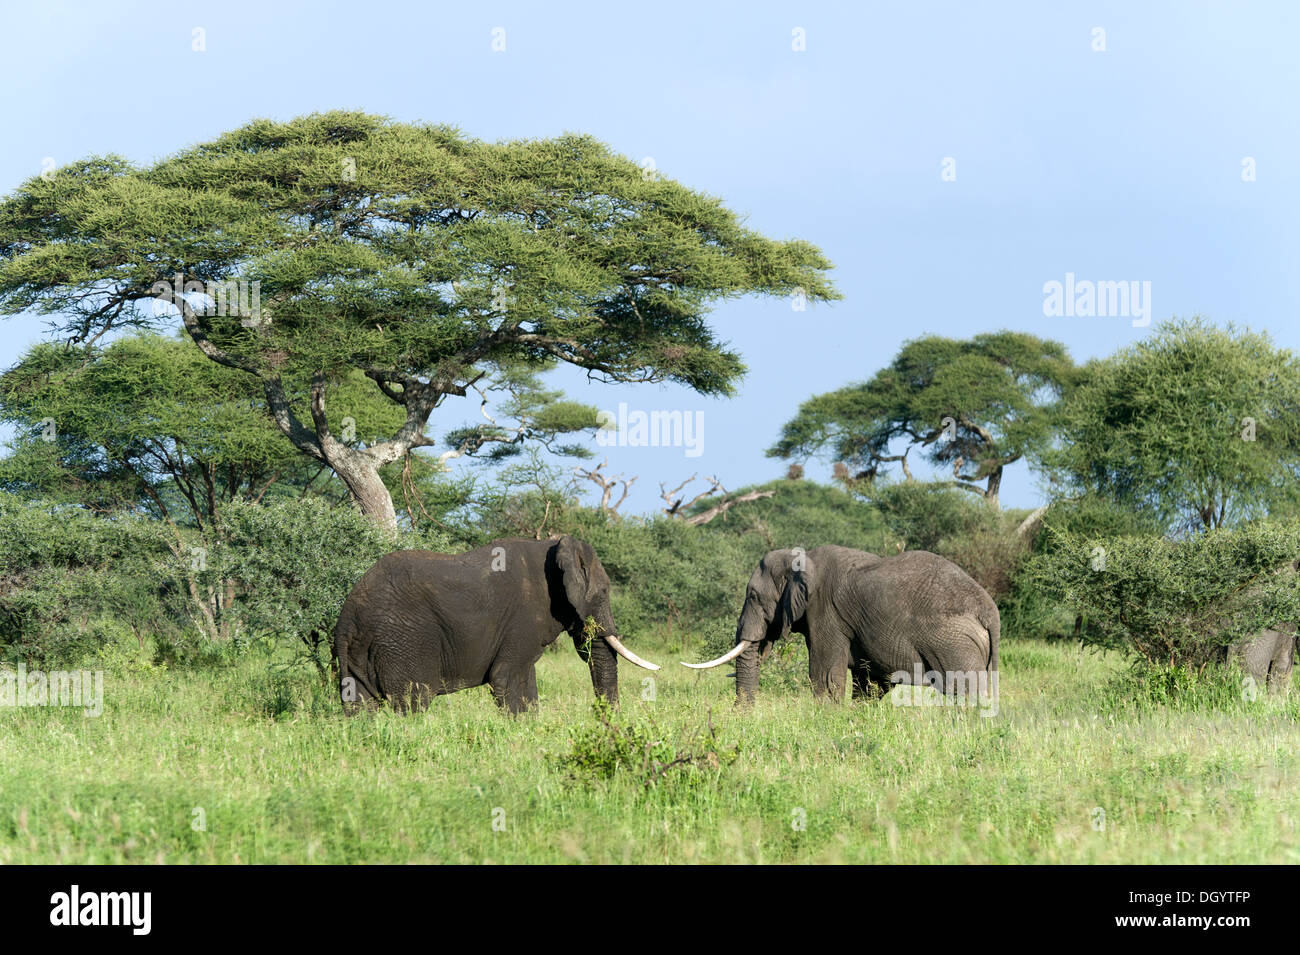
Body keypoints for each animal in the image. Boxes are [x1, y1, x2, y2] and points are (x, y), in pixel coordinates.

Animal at [335, 535, 660, 712]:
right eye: (604, 592)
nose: (605, 720)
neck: (551, 546)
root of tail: (348, 616)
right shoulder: (523, 616)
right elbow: (507, 678)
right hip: (403, 639)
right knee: (413, 700)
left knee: (360, 705)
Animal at [686, 545, 998, 712]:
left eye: (752, 596)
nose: (740, 715)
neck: (802, 558)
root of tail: (989, 612)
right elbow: (870, 682)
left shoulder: (826, 613)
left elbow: (824, 675)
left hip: (953, 642)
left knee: (964, 690)